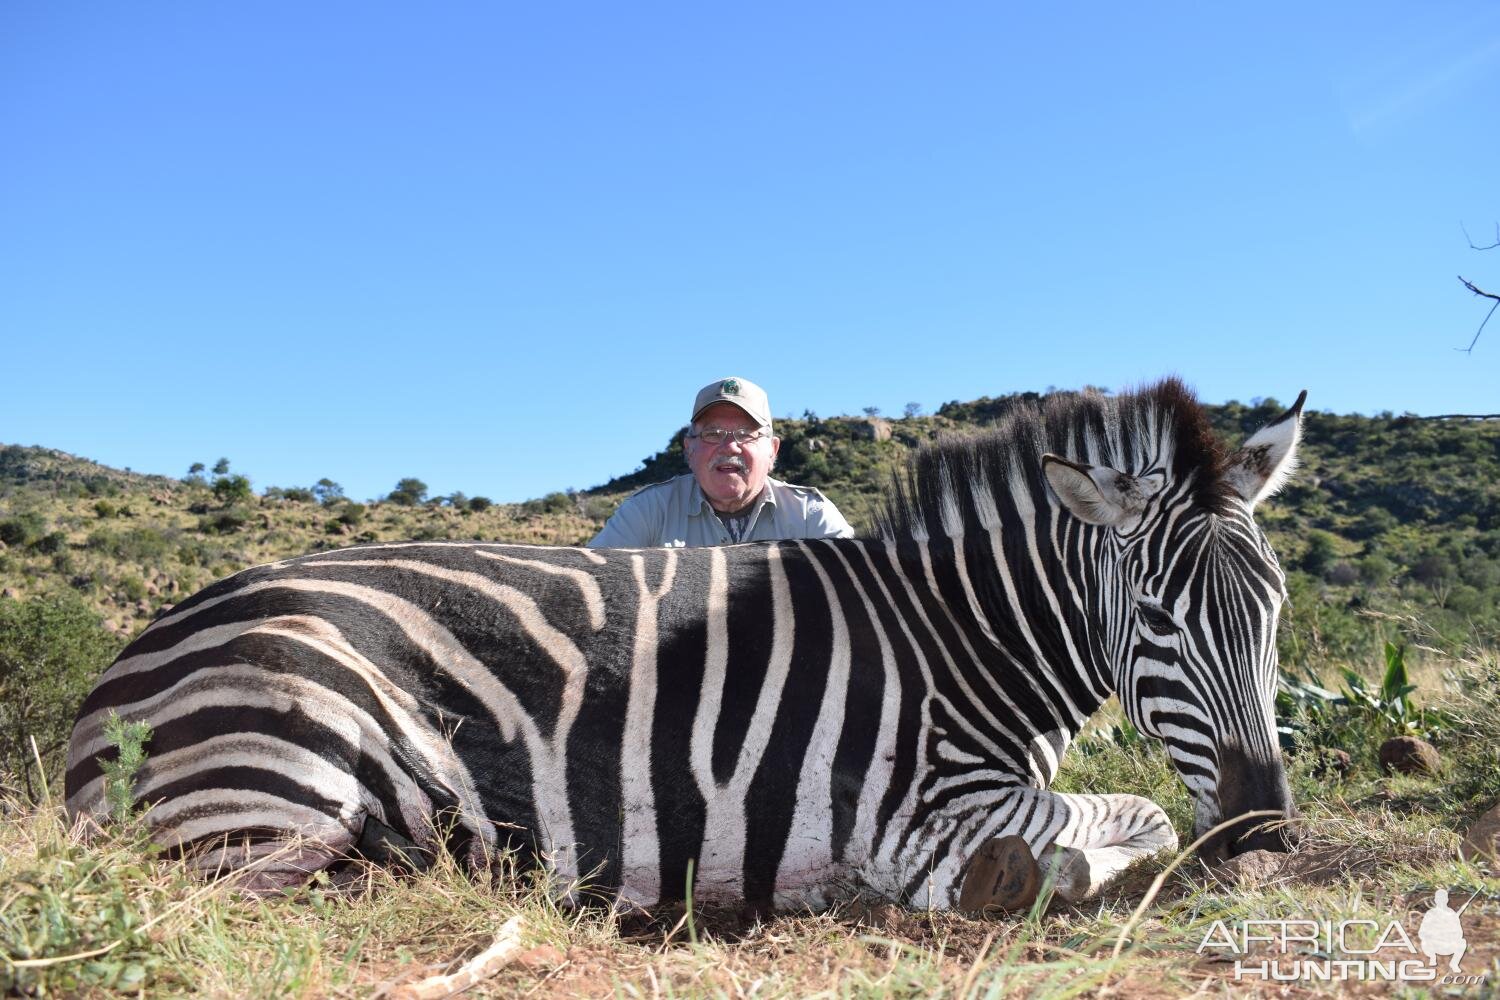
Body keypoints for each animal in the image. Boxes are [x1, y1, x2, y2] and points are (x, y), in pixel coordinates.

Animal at [64, 379, 1302, 911]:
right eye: (1159, 622)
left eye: (1278, 610)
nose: (1264, 827)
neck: (958, 638)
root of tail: (123, 664)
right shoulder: (926, 816)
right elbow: (1131, 823)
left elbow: (1143, 815)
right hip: (285, 784)